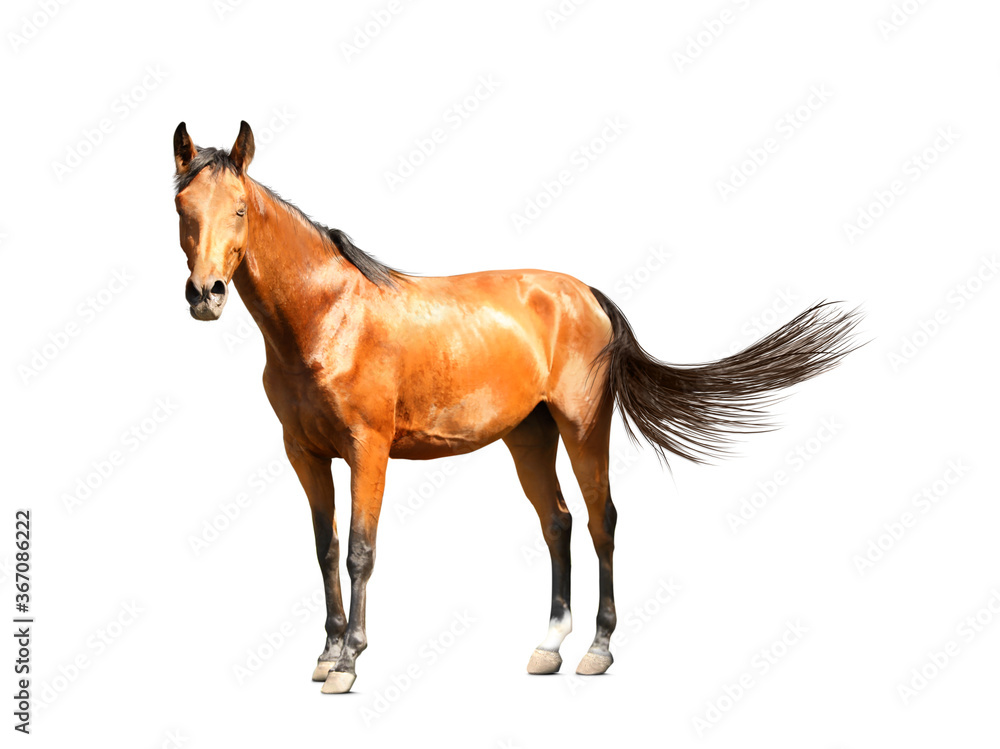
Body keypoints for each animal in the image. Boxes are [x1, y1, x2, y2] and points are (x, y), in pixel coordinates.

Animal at [171, 120, 859, 694]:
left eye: (239, 209)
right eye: (182, 209)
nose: (206, 294)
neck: (329, 318)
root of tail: (588, 295)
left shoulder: (369, 449)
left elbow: (360, 550)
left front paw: (348, 663)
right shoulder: (305, 454)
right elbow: (324, 550)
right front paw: (324, 655)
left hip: (583, 428)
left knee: (602, 521)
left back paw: (597, 651)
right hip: (529, 436)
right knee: (557, 522)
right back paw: (548, 646)